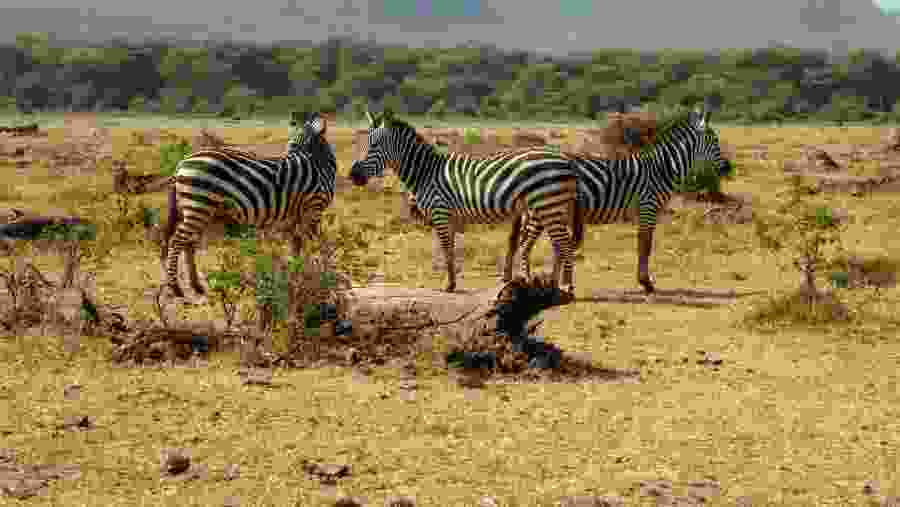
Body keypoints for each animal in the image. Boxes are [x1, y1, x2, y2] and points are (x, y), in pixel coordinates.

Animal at [161, 111, 337, 298]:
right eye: (292, 144)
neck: (319, 166)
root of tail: (181, 164)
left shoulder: (296, 217)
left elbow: (297, 247)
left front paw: (297, 276)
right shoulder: (313, 210)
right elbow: (318, 245)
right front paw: (322, 275)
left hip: (199, 209)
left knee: (189, 243)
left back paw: (196, 286)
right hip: (198, 205)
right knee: (177, 241)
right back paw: (175, 287)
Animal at [349, 108, 582, 293]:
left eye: (375, 145)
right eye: (367, 143)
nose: (354, 175)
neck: (426, 173)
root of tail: (567, 161)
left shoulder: (440, 213)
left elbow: (446, 251)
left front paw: (448, 286)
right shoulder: (449, 217)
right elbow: (451, 251)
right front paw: (452, 283)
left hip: (548, 205)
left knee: (564, 244)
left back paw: (567, 286)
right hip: (550, 208)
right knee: (559, 244)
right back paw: (554, 284)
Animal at [504, 105, 733, 294]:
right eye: (715, 140)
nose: (727, 168)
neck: (662, 169)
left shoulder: (645, 210)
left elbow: (642, 243)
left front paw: (644, 280)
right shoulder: (648, 207)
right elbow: (646, 245)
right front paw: (646, 282)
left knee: (532, 242)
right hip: (542, 210)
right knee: (526, 244)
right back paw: (527, 280)